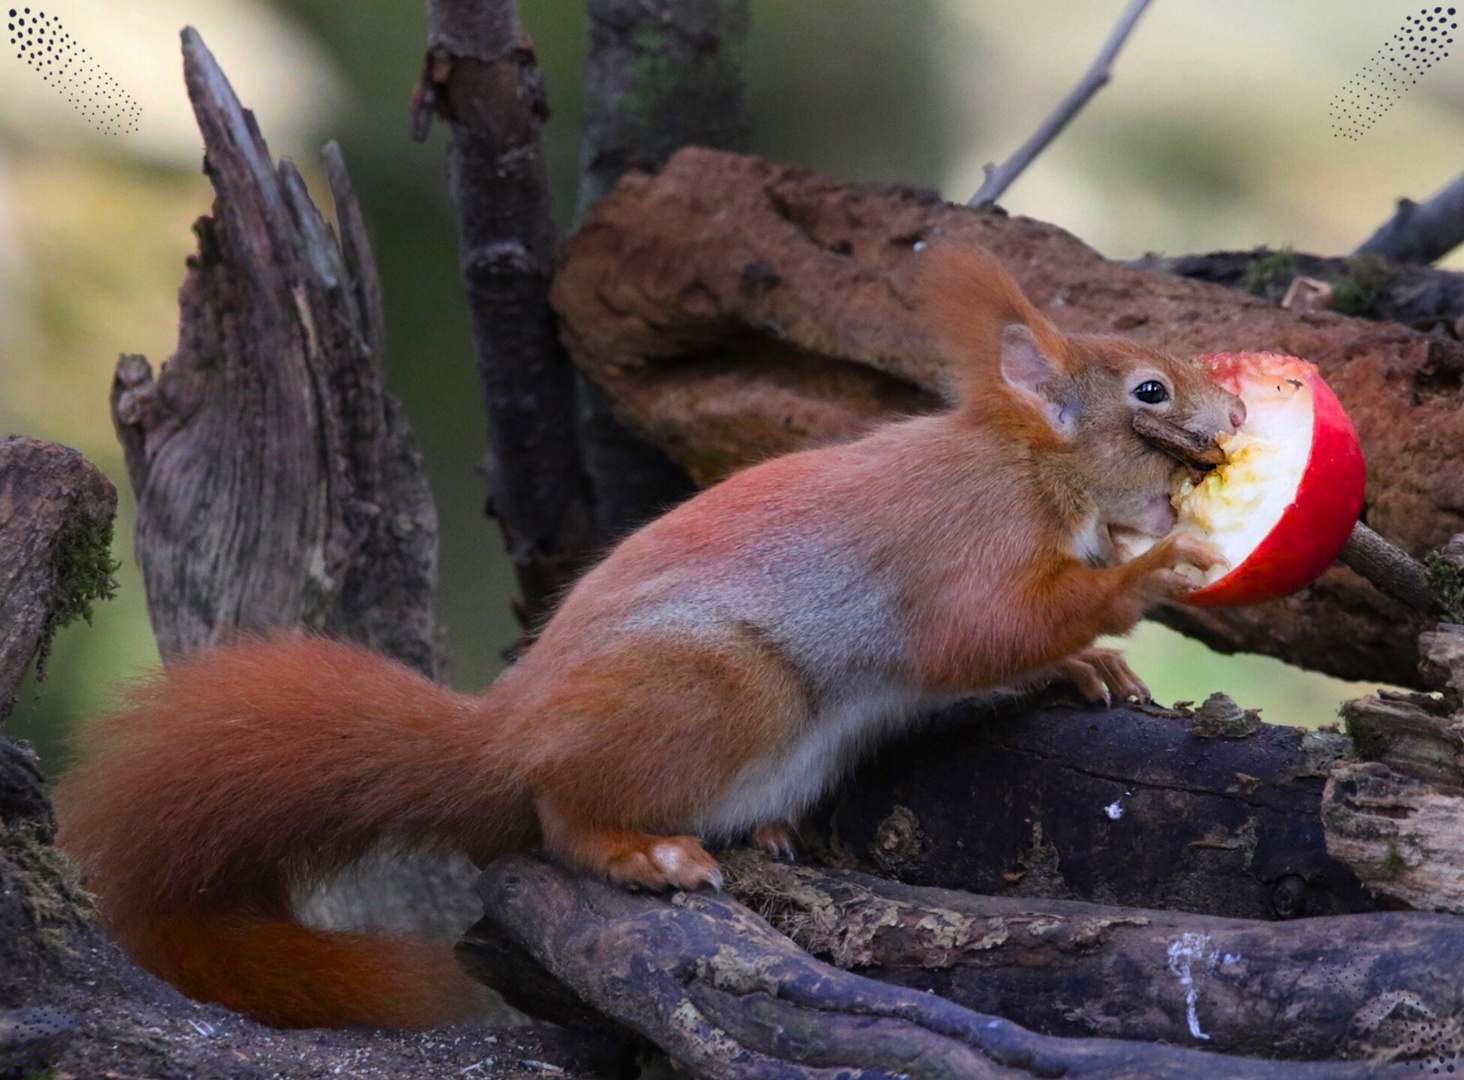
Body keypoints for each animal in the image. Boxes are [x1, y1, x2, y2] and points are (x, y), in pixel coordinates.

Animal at [57, 245, 1247, 1024]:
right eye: (1150, 390)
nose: (1236, 421)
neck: (1034, 465)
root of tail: (505, 740)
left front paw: (1092, 665)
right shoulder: (962, 542)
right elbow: (980, 633)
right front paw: (1141, 583)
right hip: (721, 692)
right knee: (561, 818)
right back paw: (643, 852)